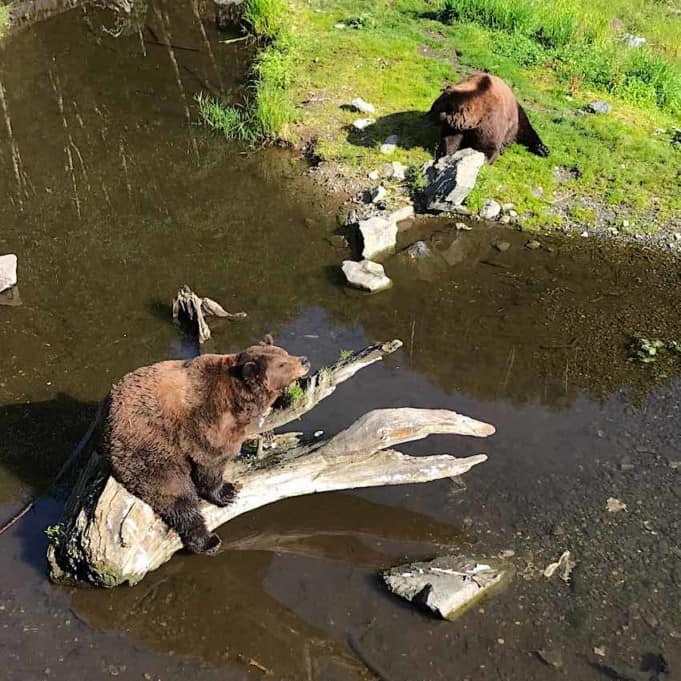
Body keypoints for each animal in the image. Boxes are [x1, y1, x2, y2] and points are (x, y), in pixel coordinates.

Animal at [102, 338, 310, 556]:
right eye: (282, 364)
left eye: (285, 353)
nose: (304, 360)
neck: (239, 401)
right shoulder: (208, 418)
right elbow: (210, 460)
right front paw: (227, 491)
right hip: (147, 446)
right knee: (174, 491)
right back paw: (207, 540)